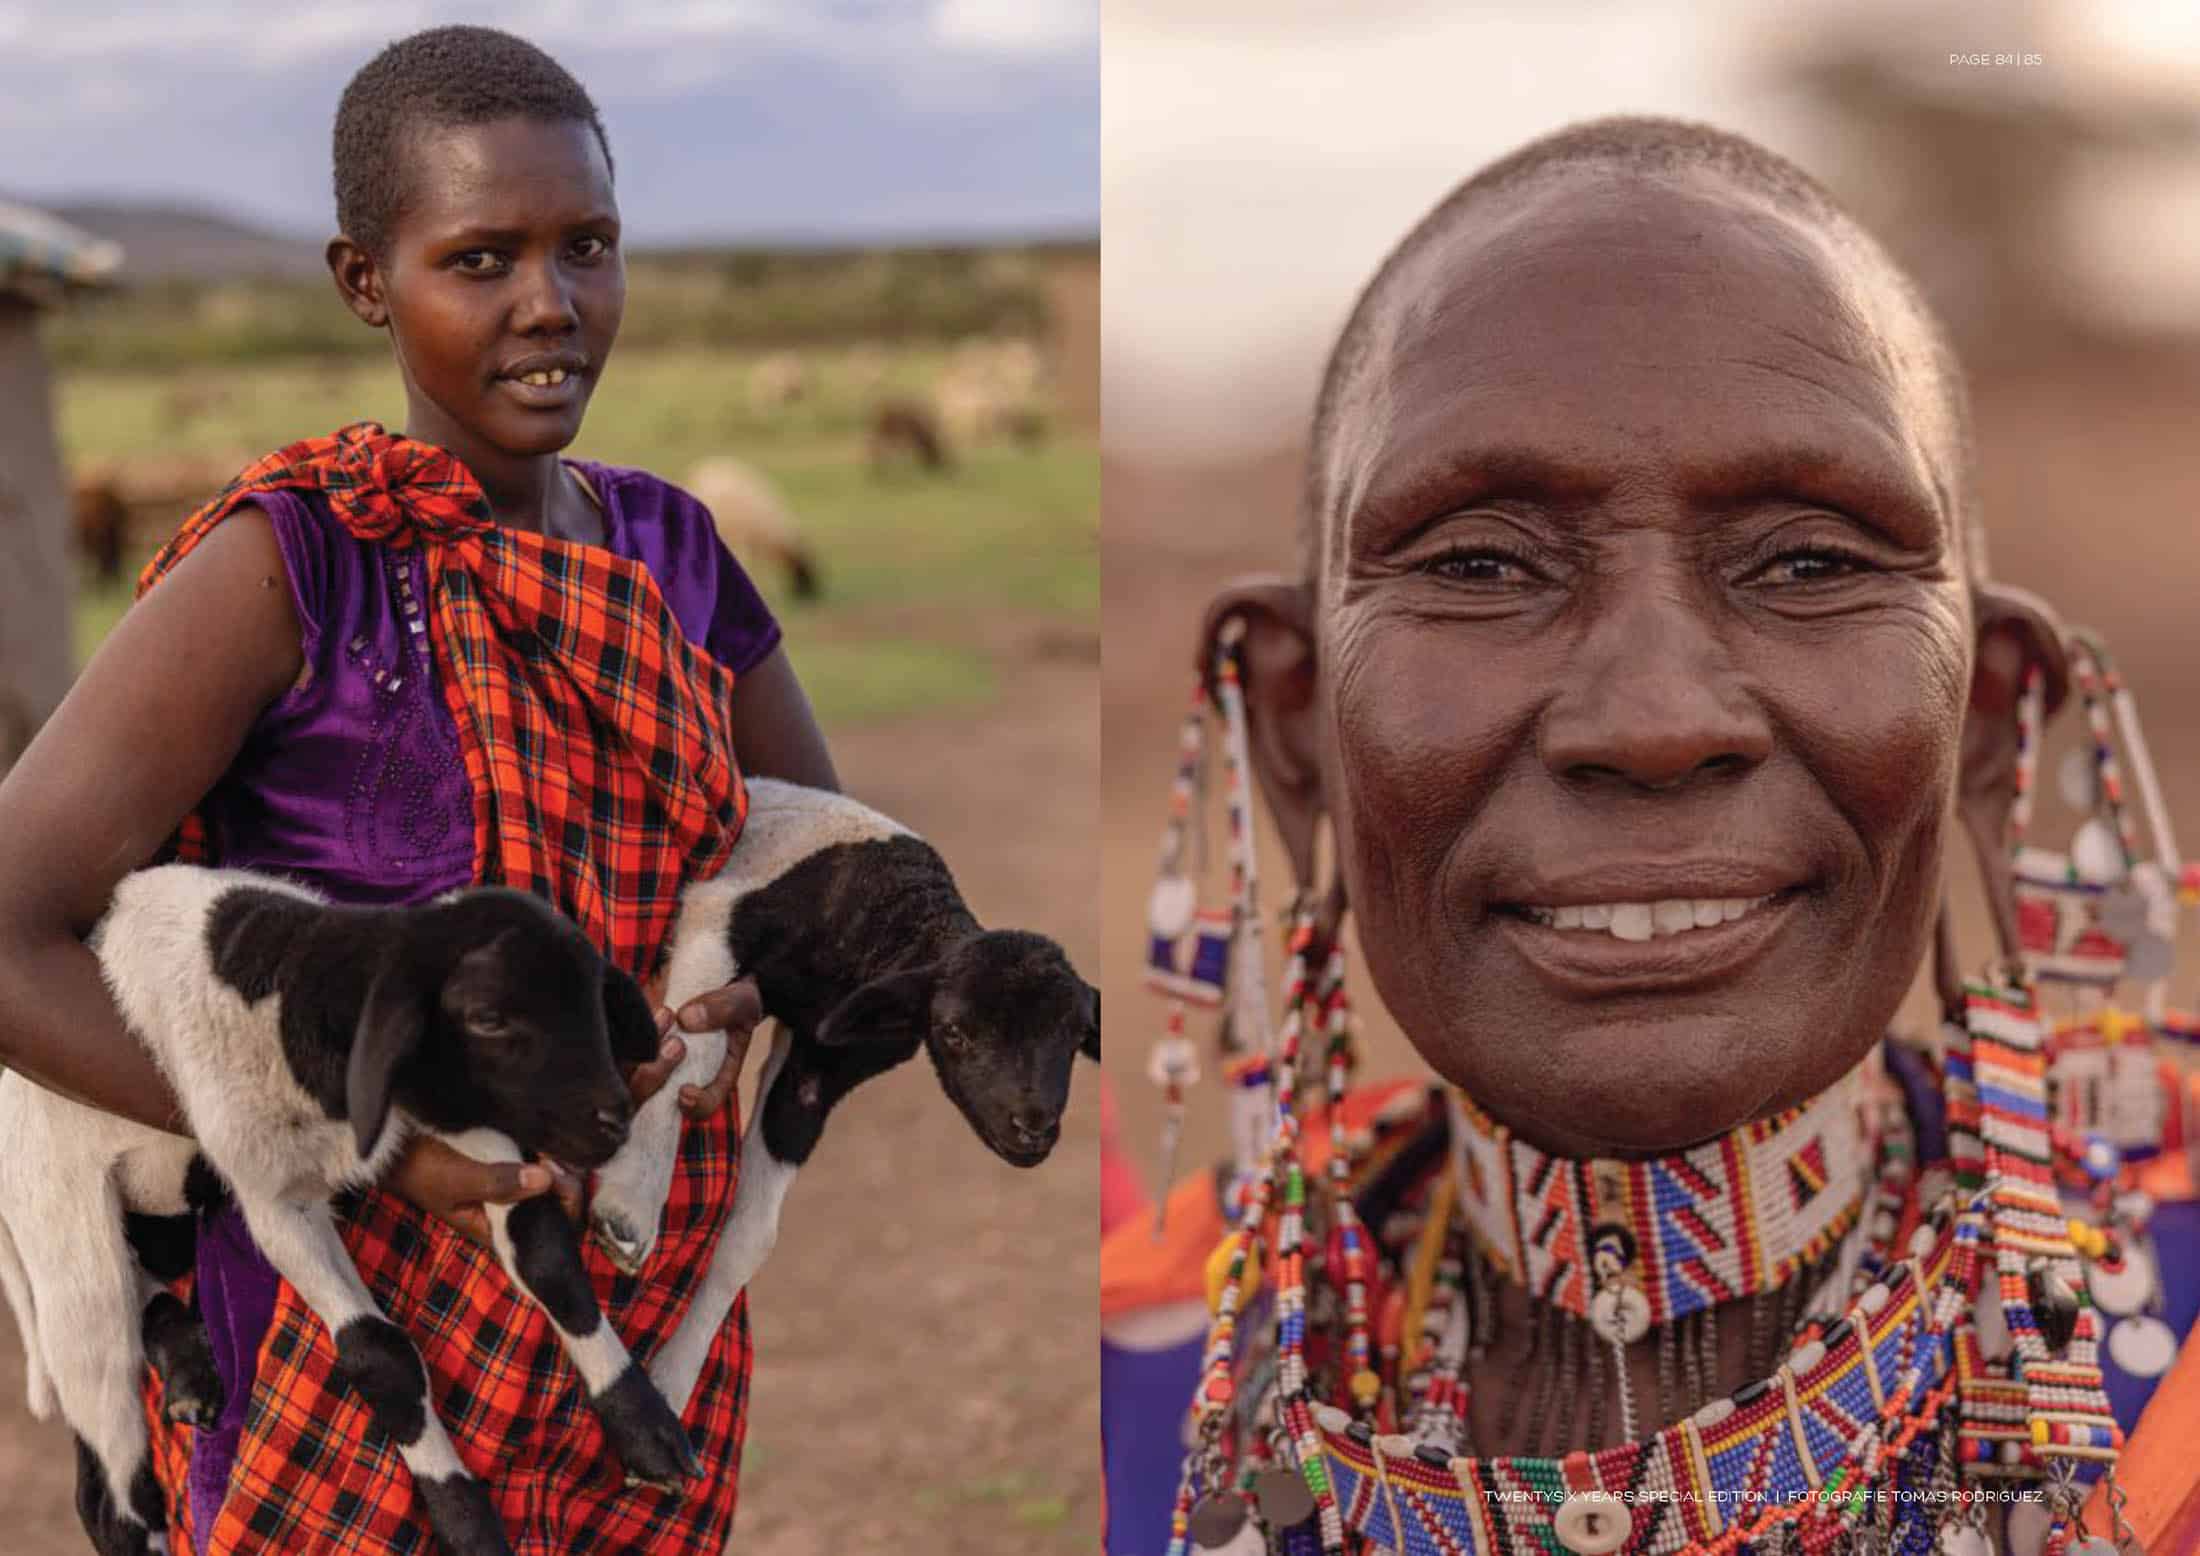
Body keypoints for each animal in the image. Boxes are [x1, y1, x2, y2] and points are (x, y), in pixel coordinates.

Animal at [0, 871, 695, 1556]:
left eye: (594, 998)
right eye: (487, 1018)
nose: (613, 1121)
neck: (294, 994)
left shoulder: (456, 1118)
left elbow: (548, 1257)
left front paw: (646, 1427)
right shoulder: (275, 1198)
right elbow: (375, 1352)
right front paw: (464, 1519)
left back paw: (192, 1373)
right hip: (70, 1246)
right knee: (104, 1471)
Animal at [585, 774, 1100, 1417]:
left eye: (1077, 1038)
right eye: (955, 1032)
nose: (1033, 1127)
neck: (893, 922)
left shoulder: (821, 1065)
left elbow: (750, 1237)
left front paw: (672, 1383)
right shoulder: (718, 920)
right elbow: (685, 1054)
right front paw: (627, 1211)